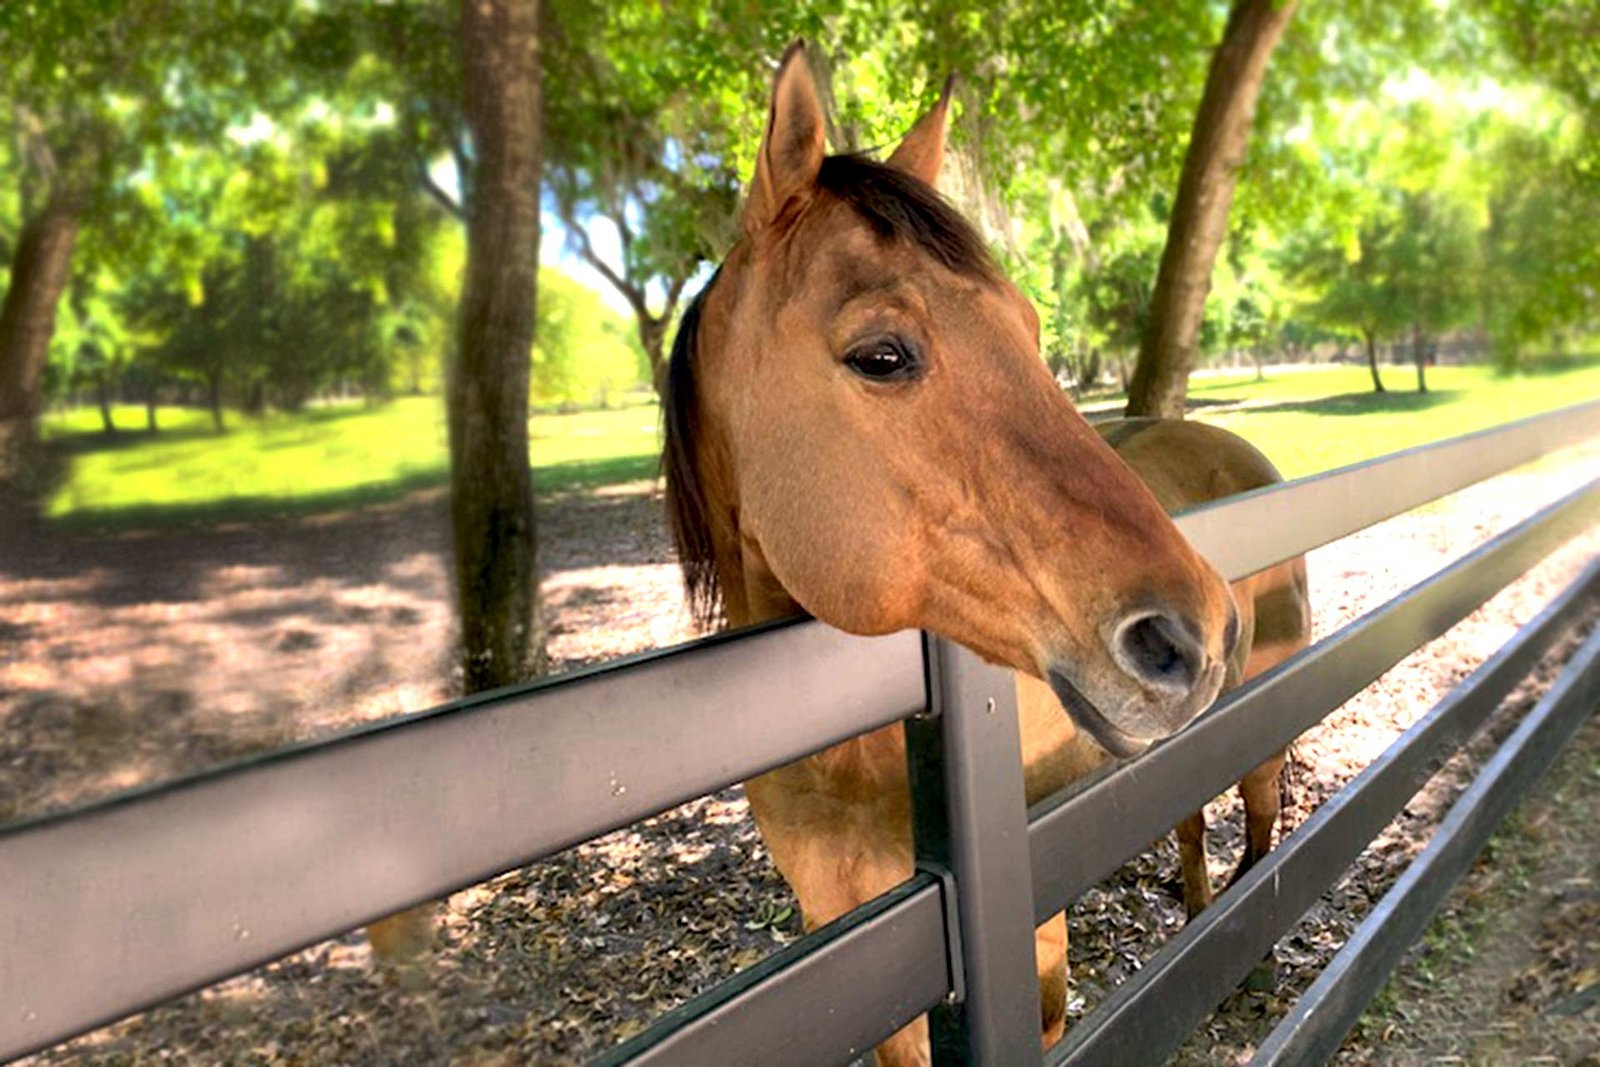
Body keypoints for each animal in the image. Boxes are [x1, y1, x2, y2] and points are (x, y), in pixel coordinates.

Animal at [662, 43, 1307, 1065]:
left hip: (1262, 724)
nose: (1196, 634)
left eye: (1031, 328)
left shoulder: (1036, 948)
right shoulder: (853, 947)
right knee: (1190, 819)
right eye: (881, 355)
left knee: (1258, 820)